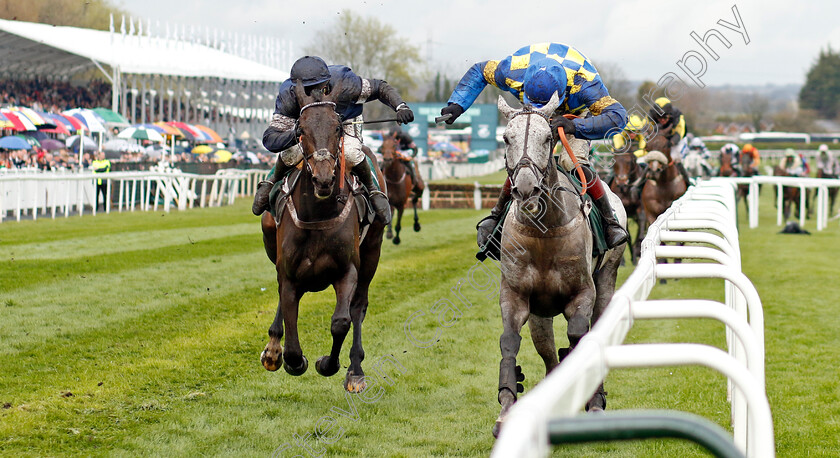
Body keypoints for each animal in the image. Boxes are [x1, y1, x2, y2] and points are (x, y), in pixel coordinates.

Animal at [260, 80, 388, 392]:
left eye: (338, 129)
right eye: (302, 130)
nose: (323, 179)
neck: (318, 214)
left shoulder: (347, 270)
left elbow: (341, 321)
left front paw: (328, 364)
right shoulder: (289, 273)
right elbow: (291, 333)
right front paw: (287, 357)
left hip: (372, 251)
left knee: (358, 307)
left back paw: (355, 370)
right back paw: (273, 348)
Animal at [492, 92, 624, 436]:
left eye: (548, 137)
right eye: (506, 138)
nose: (526, 188)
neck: (544, 230)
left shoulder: (582, 293)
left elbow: (580, 335)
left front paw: (594, 401)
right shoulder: (515, 294)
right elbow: (509, 342)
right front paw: (506, 409)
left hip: (608, 277)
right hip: (540, 313)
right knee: (548, 351)